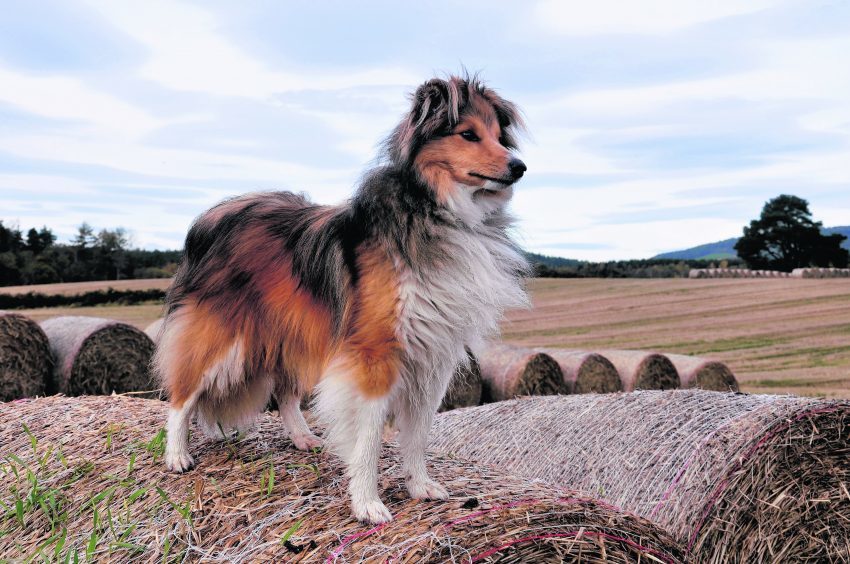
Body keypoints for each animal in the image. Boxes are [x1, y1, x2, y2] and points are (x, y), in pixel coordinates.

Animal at [156, 75, 528, 524]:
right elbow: (369, 437)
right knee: (182, 395)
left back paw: (302, 437)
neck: (434, 210)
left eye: (498, 136)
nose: (519, 167)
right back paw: (177, 455)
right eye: (468, 134)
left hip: (291, 331)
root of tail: (211, 219)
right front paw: (367, 503)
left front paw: (420, 486)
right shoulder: (375, 354)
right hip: (224, 339)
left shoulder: (433, 356)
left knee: (284, 391)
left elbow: (418, 432)